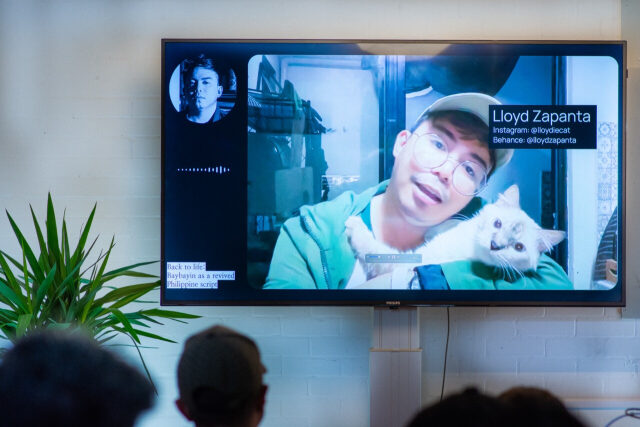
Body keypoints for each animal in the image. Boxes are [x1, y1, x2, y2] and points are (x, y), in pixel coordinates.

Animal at [344, 184, 566, 283]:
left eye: (518, 247)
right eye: (498, 223)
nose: (494, 245)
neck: (468, 245)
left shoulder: (408, 260)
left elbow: (374, 249)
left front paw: (354, 224)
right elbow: (451, 223)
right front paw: (434, 229)